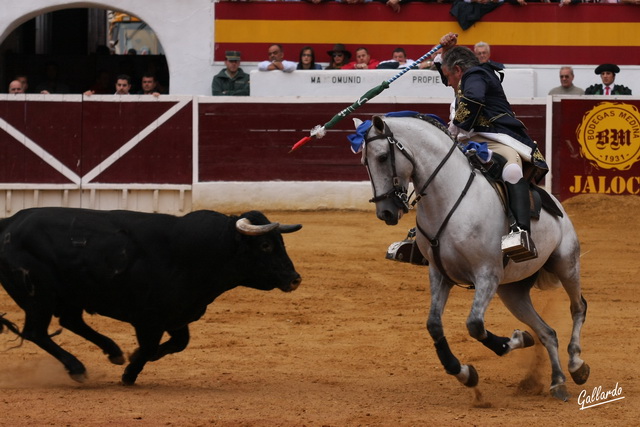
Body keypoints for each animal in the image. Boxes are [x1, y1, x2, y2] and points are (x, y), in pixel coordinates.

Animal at [0, 209, 302, 386]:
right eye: (265, 245)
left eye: (282, 242)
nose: (294, 279)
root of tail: (8, 223)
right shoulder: (148, 319)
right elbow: (148, 347)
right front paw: (129, 374)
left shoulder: (177, 315)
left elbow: (178, 343)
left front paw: (132, 360)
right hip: (39, 297)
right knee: (37, 332)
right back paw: (78, 368)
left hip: (70, 295)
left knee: (70, 321)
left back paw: (113, 352)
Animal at [360, 113, 592, 402]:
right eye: (364, 161)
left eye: (382, 157)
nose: (386, 212)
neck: (449, 198)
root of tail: (557, 205)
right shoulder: (440, 273)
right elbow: (434, 325)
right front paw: (463, 373)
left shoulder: (486, 274)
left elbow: (474, 325)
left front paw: (515, 340)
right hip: (512, 291)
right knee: (547, 332)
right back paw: (558, 381)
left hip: (566, 263)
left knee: (578, 307)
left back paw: (576, 365)